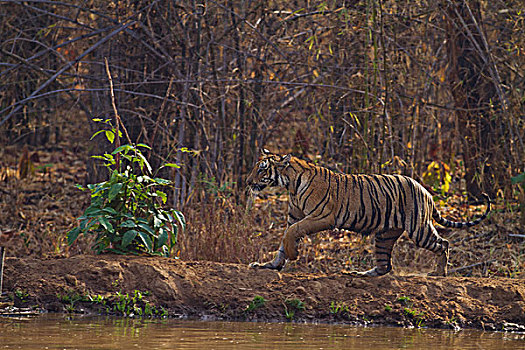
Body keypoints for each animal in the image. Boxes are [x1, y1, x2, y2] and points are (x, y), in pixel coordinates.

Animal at [247, 149, 492, 278]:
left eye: (261, 169)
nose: (248, 182)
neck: (290, 184)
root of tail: (426, 192)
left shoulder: (321, 216)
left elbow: (292, 233)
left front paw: (293, 254)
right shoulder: (295, 216)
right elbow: (285, 236)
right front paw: (270, 265)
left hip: (418, 229)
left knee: (443, 243)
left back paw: (439, 273)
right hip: (385, 234)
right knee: (385, 265)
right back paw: (362, 274)